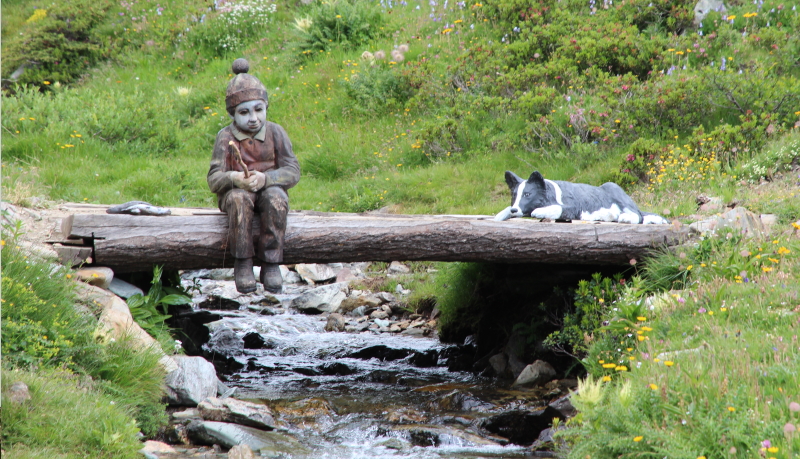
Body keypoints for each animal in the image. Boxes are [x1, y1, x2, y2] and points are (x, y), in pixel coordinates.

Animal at [494, 171, 668, 225]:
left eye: (527, 194)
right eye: (514, 195)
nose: (514, 209)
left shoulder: (573, 205)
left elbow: (557, 208)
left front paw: (538, 212)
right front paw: (500, 215)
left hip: (615, 189)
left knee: (638, 215)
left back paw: (625, 217)